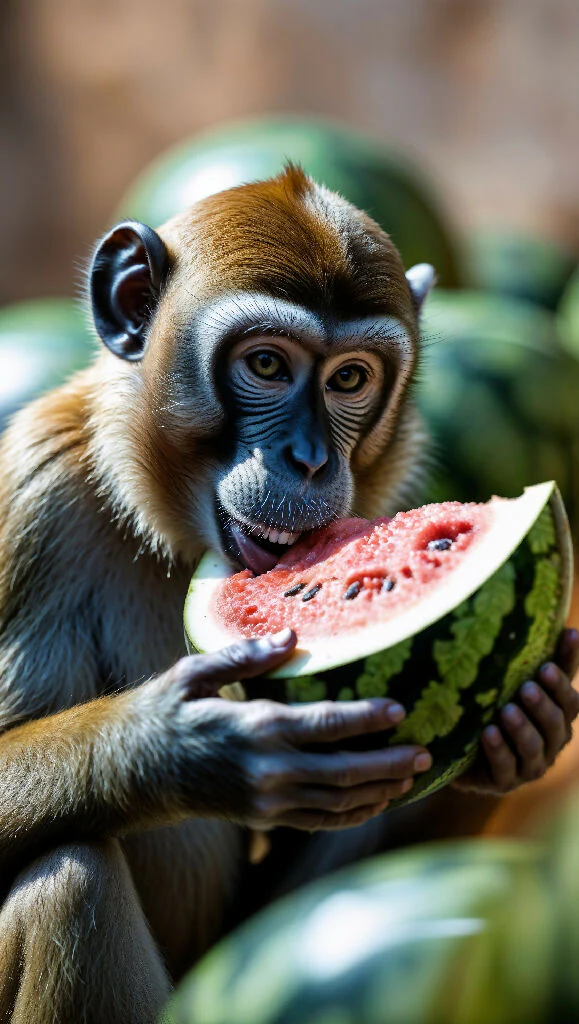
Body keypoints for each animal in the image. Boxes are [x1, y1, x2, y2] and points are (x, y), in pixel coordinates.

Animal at [0, 165, 577, 1024]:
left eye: (349, 379)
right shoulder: (33, 495)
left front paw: (521, 738)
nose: (307, 459)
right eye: (267, 366)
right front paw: (180, 747)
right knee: (71, 880)